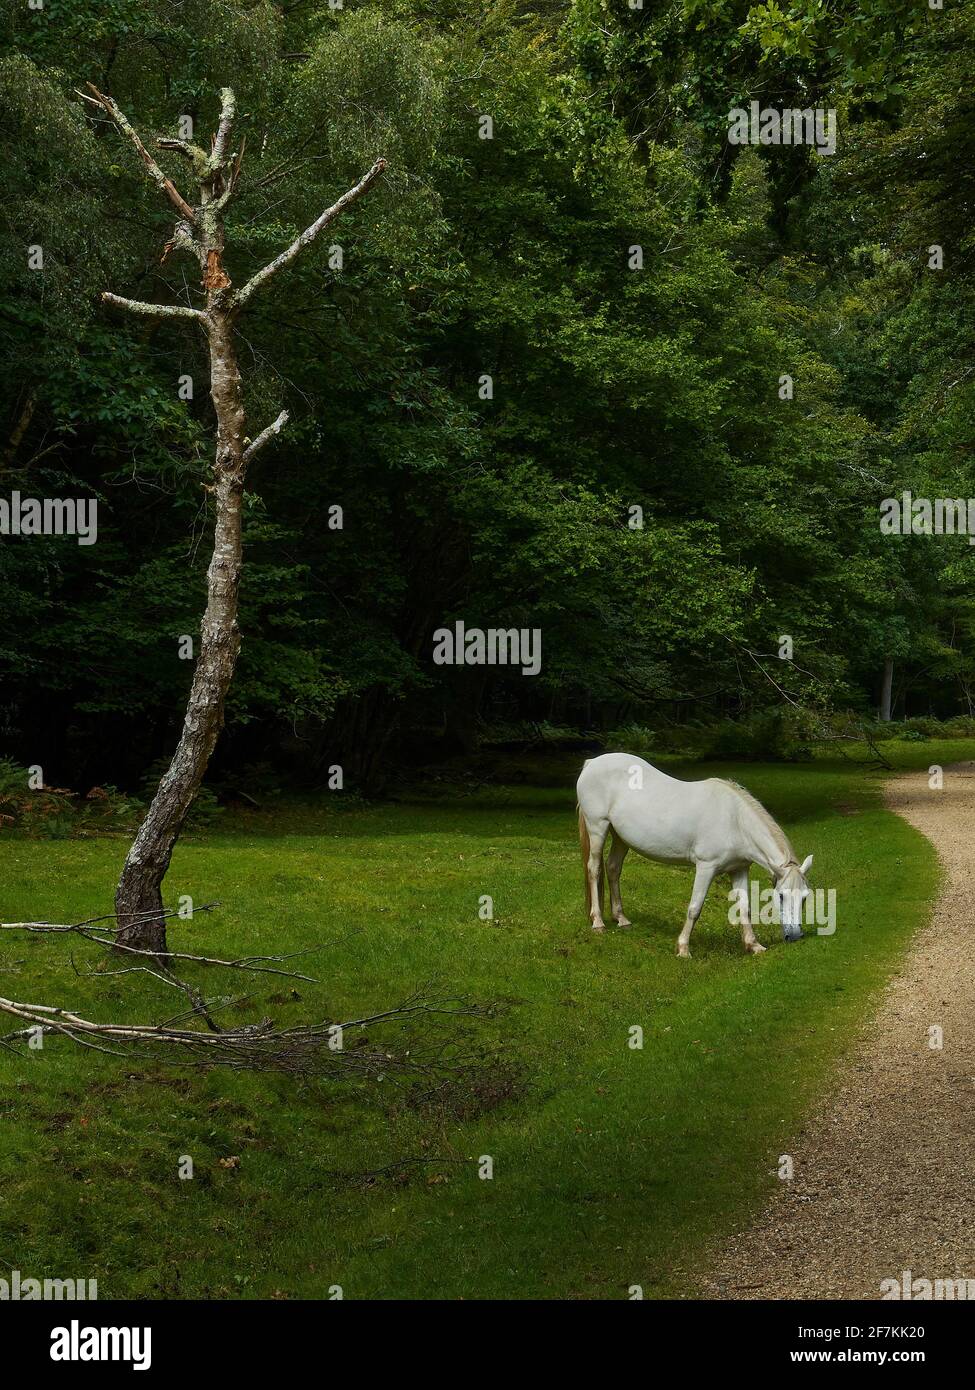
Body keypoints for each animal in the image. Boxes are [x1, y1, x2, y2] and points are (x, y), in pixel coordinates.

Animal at [576, 752, 813, 957]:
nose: (794, 936)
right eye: (781, 895)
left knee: (613, 868)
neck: (734, 820)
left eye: (805, 897)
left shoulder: (739, 869)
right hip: (598, 827)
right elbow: (694, 908)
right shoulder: (706, 867)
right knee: (594, 868)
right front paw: (683, 948)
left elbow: (745, 907)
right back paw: (598, 922)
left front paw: (753, 945)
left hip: (620, 837)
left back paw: (621, 918)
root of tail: (592, 762)